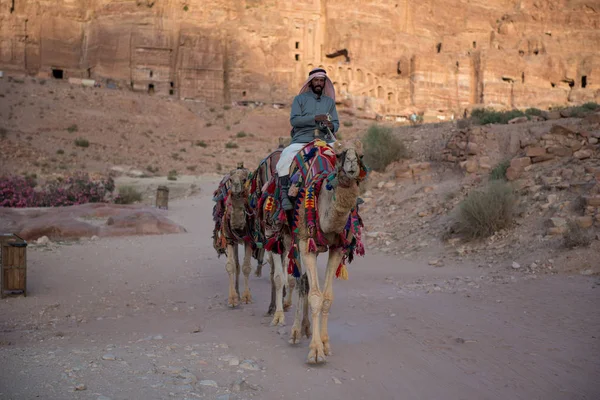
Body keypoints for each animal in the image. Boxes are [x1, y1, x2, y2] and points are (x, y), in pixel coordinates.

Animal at [212, 164, 254, 308]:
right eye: (231, 179)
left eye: (244, 179)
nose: (236, 185)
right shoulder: (230, 239)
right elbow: (231, 266)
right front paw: (233, 299)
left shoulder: (249, 240)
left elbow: (246, 267)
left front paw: (247, 297)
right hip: (234, 241)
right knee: (236, 265)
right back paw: (237, 292)